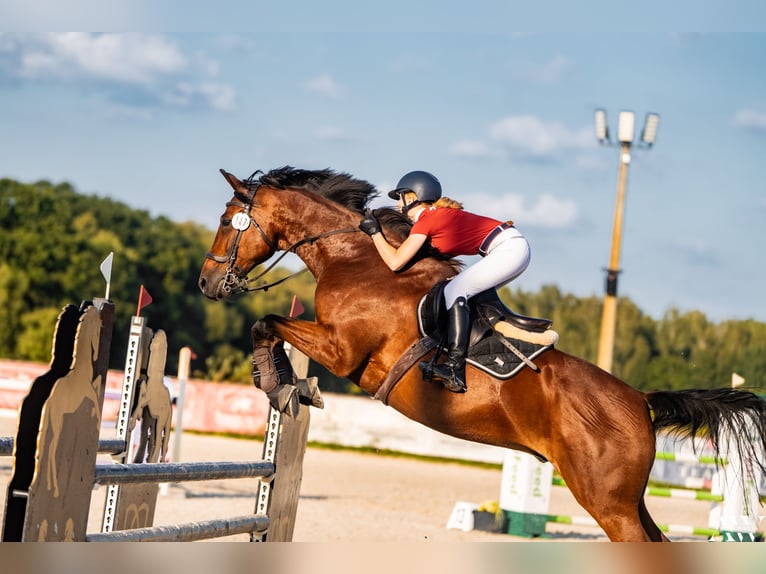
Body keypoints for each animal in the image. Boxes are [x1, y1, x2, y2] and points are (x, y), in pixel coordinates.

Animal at [198, 166, 766, 542]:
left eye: (228, 220)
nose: (205, 283)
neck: (358, 259)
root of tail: (641, 402)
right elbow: (269, 326)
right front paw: (286, 383)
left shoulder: (341, 350)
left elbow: (266, 322)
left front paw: (277, 383)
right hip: (630, 501)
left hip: (608, 502)